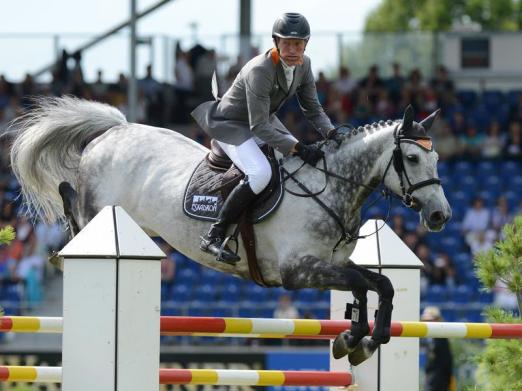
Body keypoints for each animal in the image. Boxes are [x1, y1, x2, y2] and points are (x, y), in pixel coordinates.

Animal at [9, 96, 446, 366]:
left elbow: (376, 284)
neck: (331, 189)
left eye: (437, 158)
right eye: (411, 158)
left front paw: (362, 342)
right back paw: (60, 248)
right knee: (71, 200)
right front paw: (357, 340)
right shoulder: (299, 271)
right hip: (101, 211)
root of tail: (117, 130)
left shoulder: (331, 264)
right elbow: (365, 284)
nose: (441, 215)